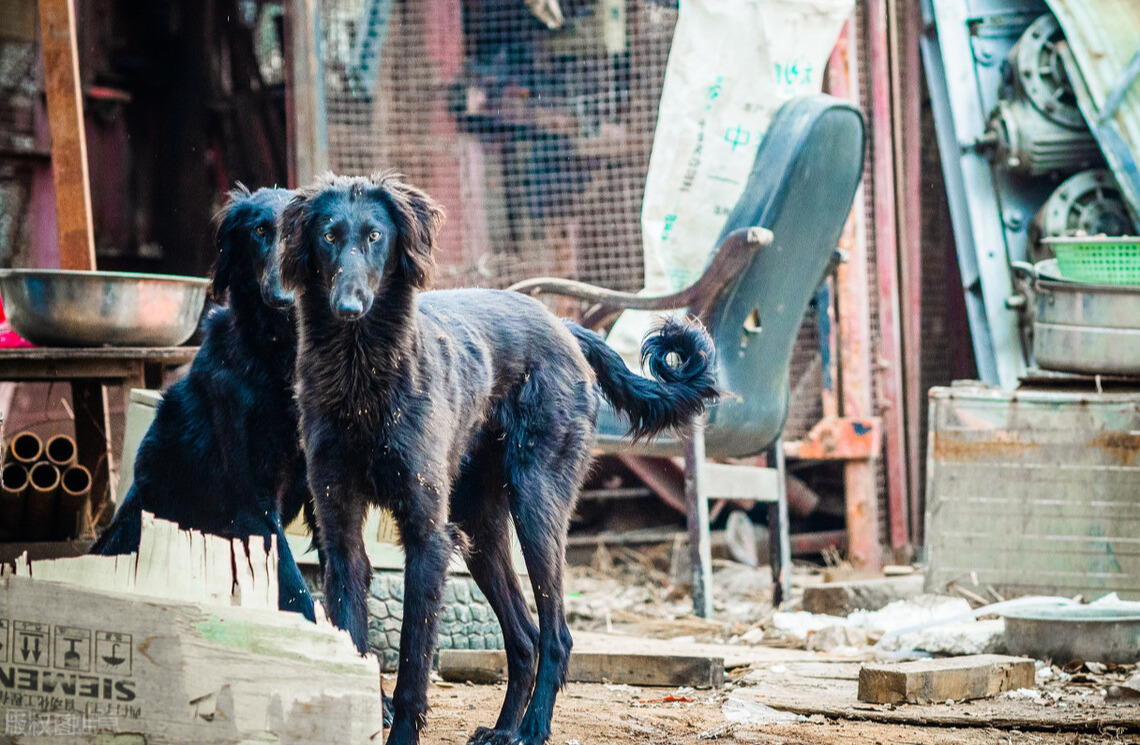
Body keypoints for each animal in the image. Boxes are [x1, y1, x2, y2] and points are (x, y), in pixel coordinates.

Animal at [277, 173, 720, 745]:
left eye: (375, 236)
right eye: (329, 237)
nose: (348, 306)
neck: (362, 374)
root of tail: (563, 325)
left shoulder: (428, 535)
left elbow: (413, 663)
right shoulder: (341, 535)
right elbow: (354, 639)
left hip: (536, 507)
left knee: (555, 635)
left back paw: (532, 727)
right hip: (479, 525)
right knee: (524, 637)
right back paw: (505, 728)